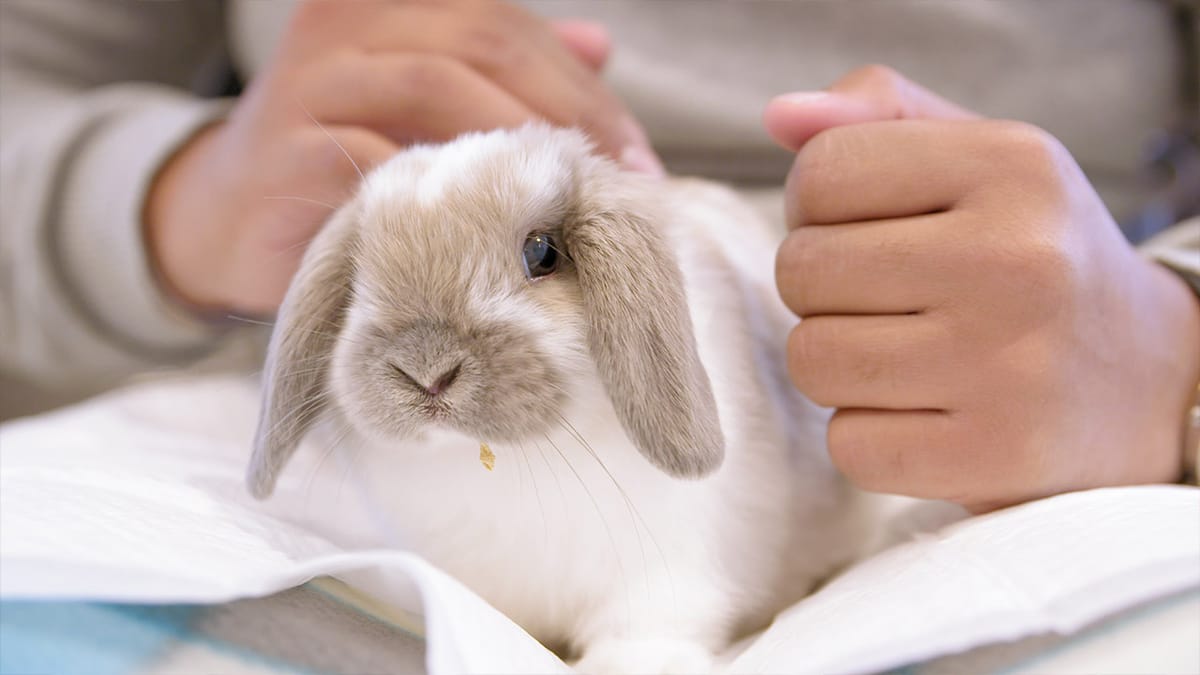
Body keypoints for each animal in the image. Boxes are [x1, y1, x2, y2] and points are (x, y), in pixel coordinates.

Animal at [250, 123, 873, 667]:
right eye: (357, 278)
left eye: (542, 253)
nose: (425, 370)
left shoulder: (663, 578)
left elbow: (645, 628)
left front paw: (628, 665)